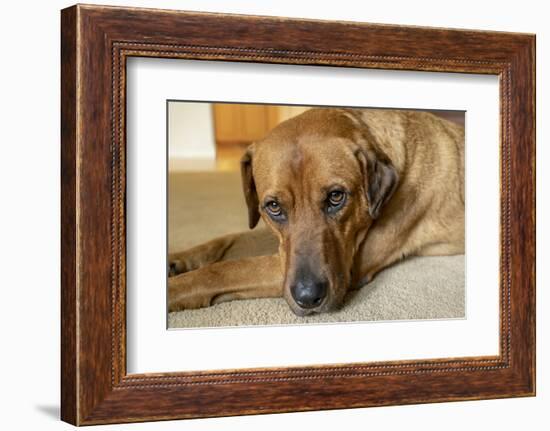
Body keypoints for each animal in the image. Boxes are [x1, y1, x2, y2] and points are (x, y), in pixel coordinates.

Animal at [168, 108, 466, 318]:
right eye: (273, 207)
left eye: (336, 197)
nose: (308, 297)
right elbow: (225, 240)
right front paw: (176, 260)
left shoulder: (345, 268)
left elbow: (222, 271)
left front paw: (173, 289)